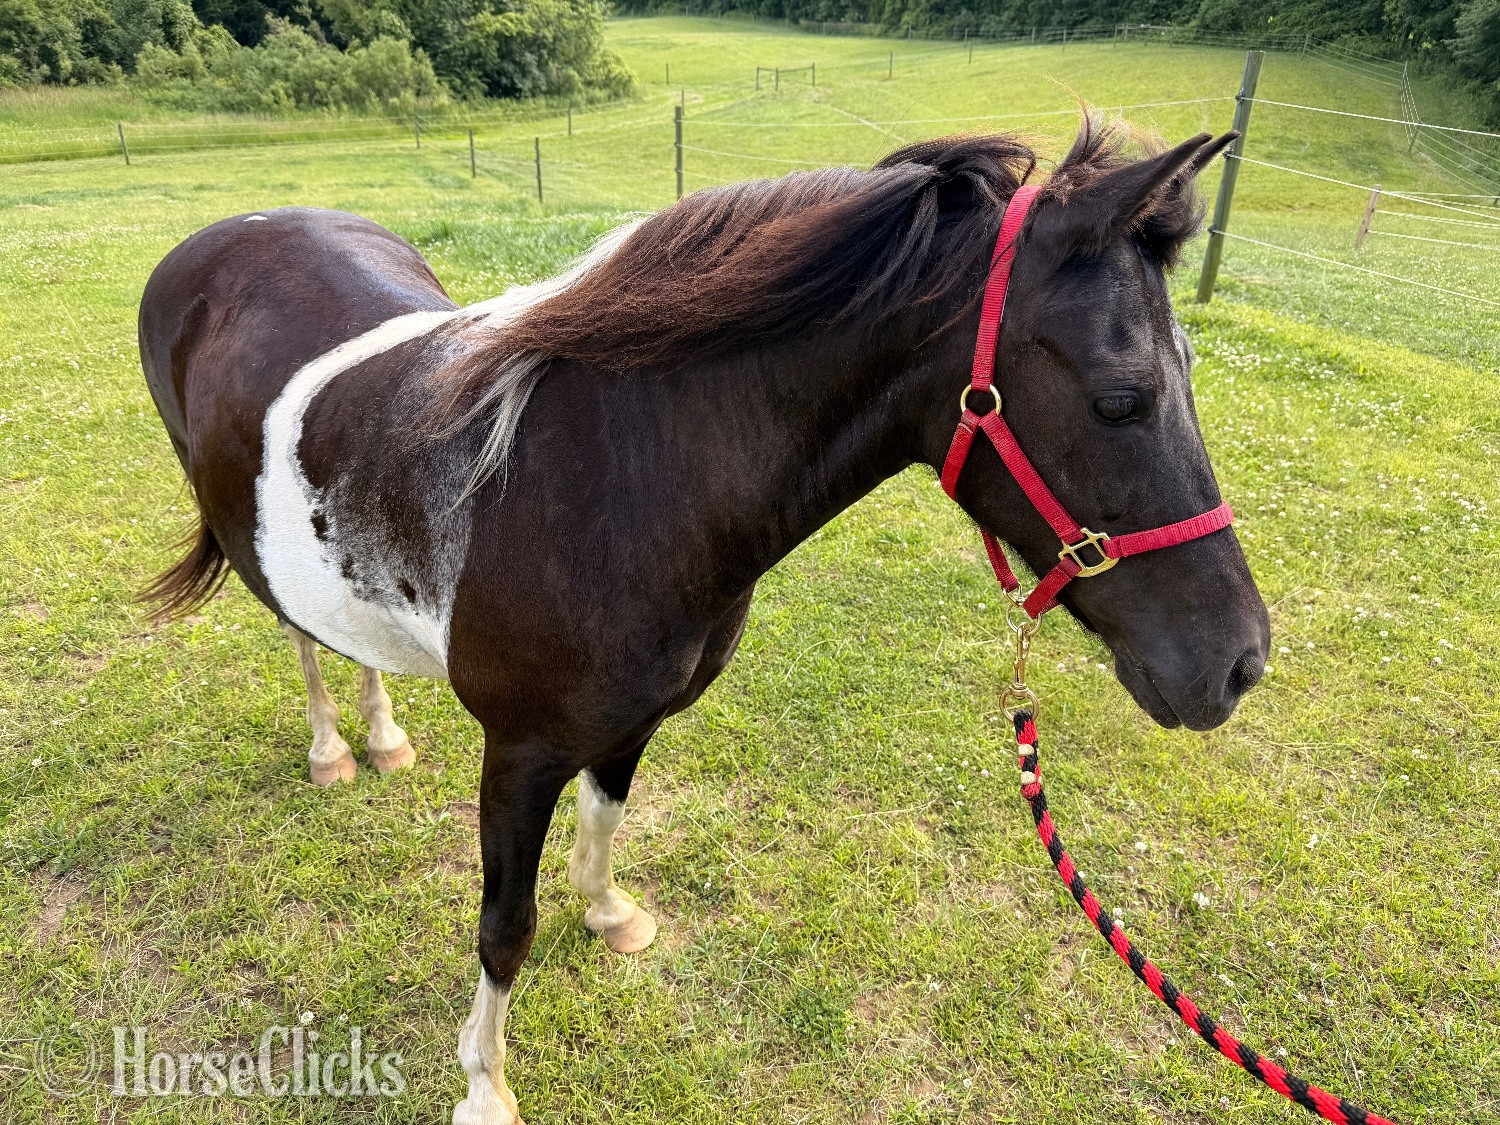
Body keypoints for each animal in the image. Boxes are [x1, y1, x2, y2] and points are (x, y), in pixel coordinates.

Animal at [137, 118, 1269, 1123]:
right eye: (1121, 399)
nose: (1239, 663)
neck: (613, 481)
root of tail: (227, 232)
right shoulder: (519, 751)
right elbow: (505, 928)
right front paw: (484, 1088)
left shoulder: (628, 721)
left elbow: (605, 822)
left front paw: (609, 915)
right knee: (301, 636)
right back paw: (335, 749)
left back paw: (380, 737)